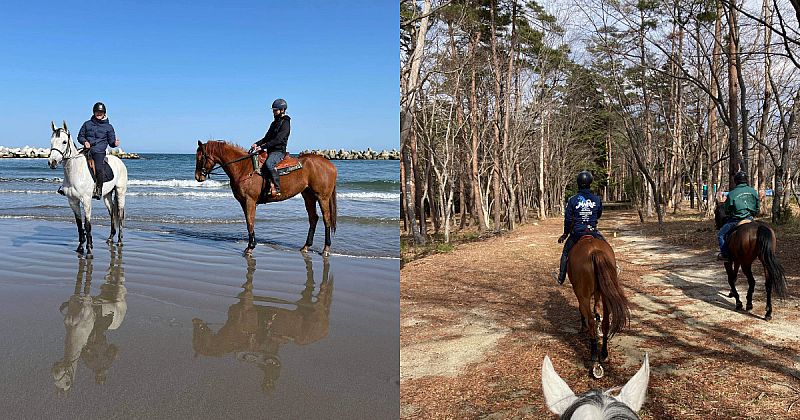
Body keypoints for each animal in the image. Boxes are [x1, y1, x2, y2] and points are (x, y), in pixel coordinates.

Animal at [48, 120, 128, 254]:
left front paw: (89, 248)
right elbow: (79, 224)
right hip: (107, 195)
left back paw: (120, 241)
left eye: (64, 142)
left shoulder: (86, 201)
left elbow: (87, 224)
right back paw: (110, 238)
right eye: (51, 141)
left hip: (120, 191)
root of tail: (119, 161)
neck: (75, 172)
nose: (52, 162)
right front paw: (80, 247)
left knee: (120, 214)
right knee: (112, 212)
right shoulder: (73, 201)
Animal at [198, 140, 340, 256]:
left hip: (322, 197)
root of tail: (331, 165)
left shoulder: (250, 201)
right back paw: (306, 246)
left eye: (201, 157)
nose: (198, 176)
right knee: (313, 218)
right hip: (308, 196)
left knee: (326, 218)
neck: (243, 167)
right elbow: (249, 222)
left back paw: (326, 249)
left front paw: (250, 247)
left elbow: (250, 222)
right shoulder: (244, 202)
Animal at [564, 236, 628, 378]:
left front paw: (583, 327)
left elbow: (582, 310)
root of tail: (594, 251)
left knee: (591, 322)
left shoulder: (580, 294)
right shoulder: (598, 292)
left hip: (584, 294)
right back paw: (604, 354)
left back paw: (594, 359)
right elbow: (597, 308)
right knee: (605, 323)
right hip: (605, 293)